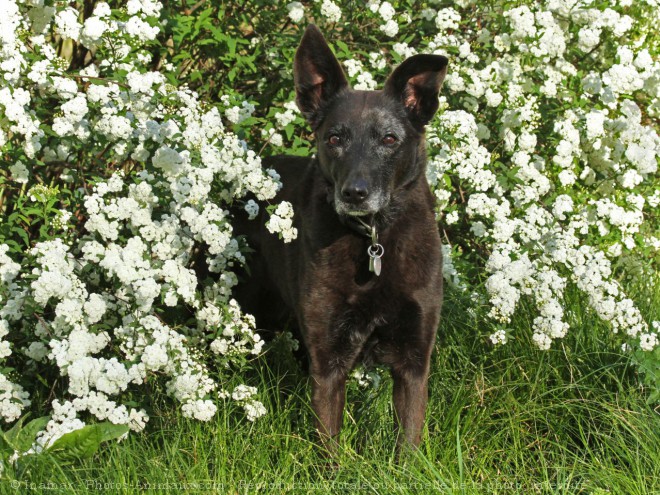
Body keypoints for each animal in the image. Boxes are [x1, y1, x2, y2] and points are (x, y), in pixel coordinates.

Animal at [233, 26, 448, 454]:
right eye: (334, 139)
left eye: (389, 139)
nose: (354, 193)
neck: (373, 238)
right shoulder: (328, 362)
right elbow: (329, 446)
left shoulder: (414, 362)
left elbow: (408, 443)